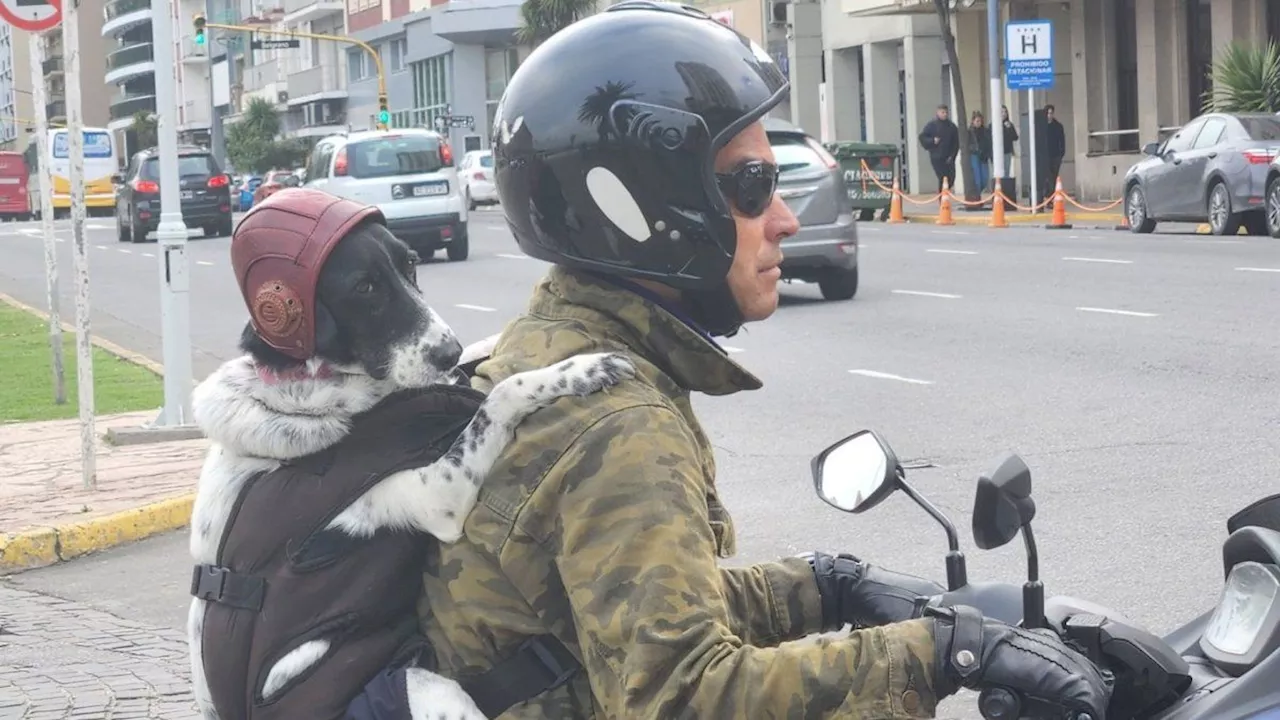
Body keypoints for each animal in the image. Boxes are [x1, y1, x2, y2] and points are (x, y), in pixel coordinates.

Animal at [186, 220, 634, 717]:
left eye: (411, 265)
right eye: (364, 288)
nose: (449, 350)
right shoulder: (438, 495)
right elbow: (503, 393)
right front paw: (577, 370)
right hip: (430, 688)